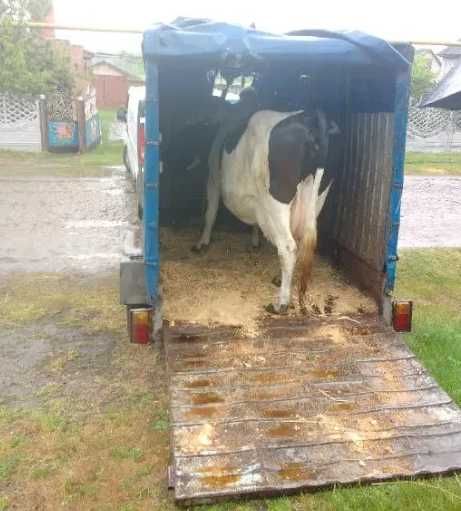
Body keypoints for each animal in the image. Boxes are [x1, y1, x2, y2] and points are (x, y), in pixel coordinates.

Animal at [194, 110, 338, 314]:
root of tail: (310, 117)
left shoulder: (213, 179)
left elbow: (210, 213)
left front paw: (202, 243)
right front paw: (254, 241)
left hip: (276, 200)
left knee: (287, 246)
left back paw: (281, 303)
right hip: (317, 197)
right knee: (299, 240)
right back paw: (281, 281)